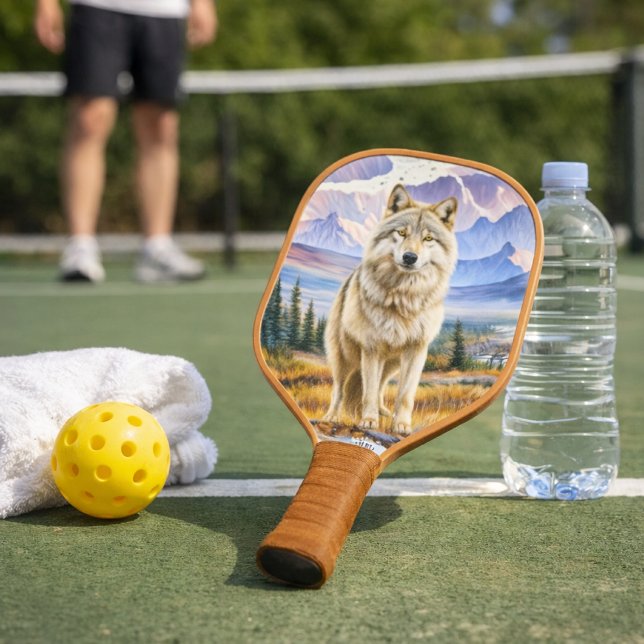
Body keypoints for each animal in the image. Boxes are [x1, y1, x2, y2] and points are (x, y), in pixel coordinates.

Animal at [323, 184, 458, 436]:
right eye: (402, 233)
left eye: (428, 238)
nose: (410, 257)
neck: (403, 297)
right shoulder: (371, 349)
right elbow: (367, 392)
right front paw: (368, 421)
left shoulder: (416, 350)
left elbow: (405, 395)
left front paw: (402, 425)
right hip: (345, 357)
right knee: (340, 389)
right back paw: (332, 416)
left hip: (391, 365)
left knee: (379, 387)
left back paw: (383, 412)